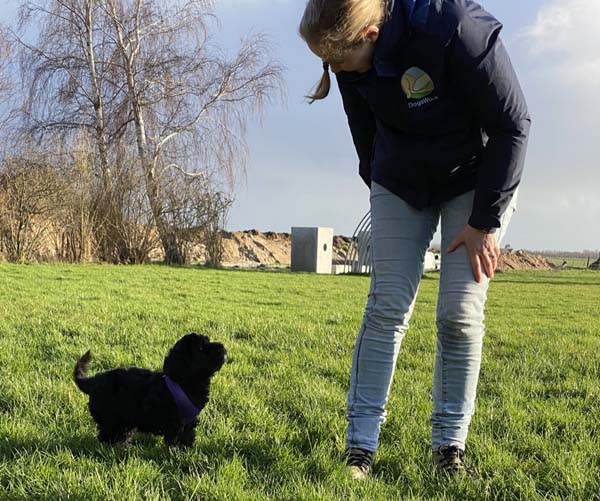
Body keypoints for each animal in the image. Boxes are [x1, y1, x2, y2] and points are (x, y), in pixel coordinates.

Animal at [73, 333, 226, 447]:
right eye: (201, 348)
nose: (222, 346)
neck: (184, 381)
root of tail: (93, 381)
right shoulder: (174, 422)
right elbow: (174, 441)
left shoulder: (189, 422)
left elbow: (188, 437)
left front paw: (187, 451)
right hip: (111, 417)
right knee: (107, 435)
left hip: (125, 420)